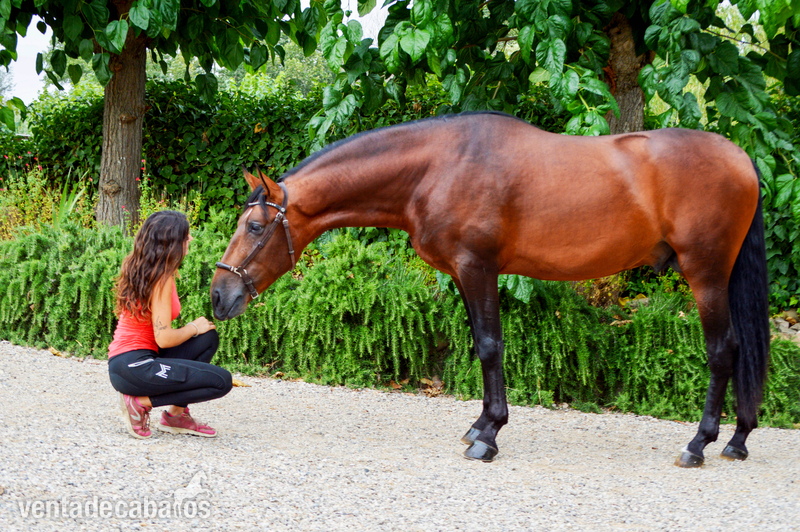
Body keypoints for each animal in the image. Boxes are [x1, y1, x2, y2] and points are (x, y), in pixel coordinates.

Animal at [210, 111, 769, 466]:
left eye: (255, 227)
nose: (218, 295)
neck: (436, 167)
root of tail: (742, 160)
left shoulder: (477, 267)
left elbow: (489, 346)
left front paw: (490, 437)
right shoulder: (464, 273)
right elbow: (482, 349)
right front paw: (480, 426)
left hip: (705, 273)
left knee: (723, 351)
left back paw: (699, 444)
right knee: (740, 351)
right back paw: (738, 440)